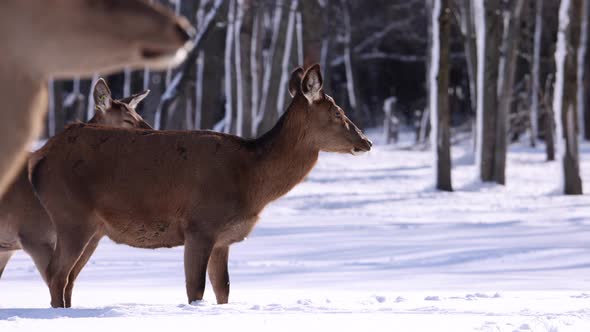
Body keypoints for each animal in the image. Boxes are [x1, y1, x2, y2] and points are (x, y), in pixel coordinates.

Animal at [30, 65, 372, 308]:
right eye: (338, 113)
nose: (366, 141)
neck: (250, 179)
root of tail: (40, 156)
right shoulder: (200, 226)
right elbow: (195, 291)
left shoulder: (223, 238)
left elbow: (224, 290)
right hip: (71, 214)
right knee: (57, 274)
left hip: (93, 228)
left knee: (67, 278)